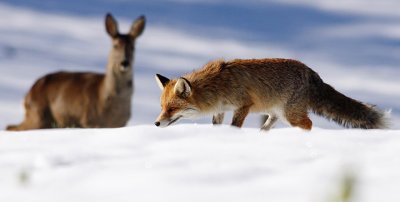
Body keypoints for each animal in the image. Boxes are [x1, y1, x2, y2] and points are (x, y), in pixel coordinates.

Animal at [5, 13, 145, 131]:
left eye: (133, 47)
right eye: (115, 46)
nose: (124, 63)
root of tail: (28, 94)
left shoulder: (119, 124)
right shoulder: (89, 120)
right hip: (38, 115)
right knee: (12, 127)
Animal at [154, 58, 388, 131]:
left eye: (172, 108)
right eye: (162, 108)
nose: (156, 123)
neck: (217, 85)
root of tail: (311, 72)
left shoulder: (244, 105)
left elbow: (235, 126)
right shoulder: (220, 110)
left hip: (291, 115)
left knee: (309, 124)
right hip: (276, 115)